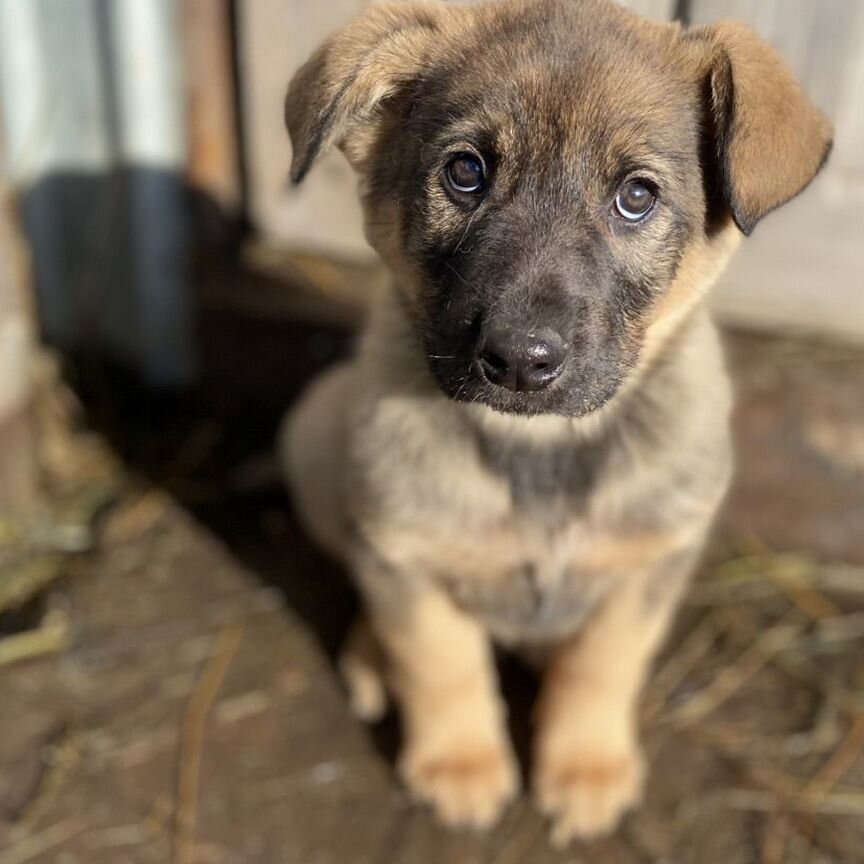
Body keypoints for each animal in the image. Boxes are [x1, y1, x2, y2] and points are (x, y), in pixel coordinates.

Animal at [280, 0, 828, 848]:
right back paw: (373, 660)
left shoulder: (648, 566)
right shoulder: (404, 551)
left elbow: (601, 668)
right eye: (465, 172)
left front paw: (585, 771)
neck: (539, 448)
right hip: (314, 435)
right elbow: (439, 659)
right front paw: (461, 765)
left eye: (636, 196)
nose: (517, 360)